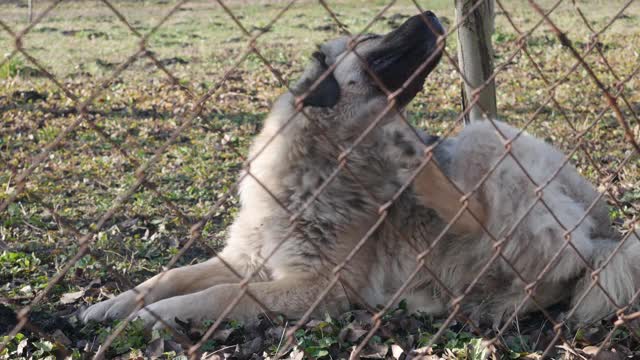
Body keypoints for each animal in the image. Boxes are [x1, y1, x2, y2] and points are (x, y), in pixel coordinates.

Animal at [82, 11, 636, 332]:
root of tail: (603, 230)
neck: (316, 167)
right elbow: (175, 275)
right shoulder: (247, 258)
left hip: (484, 134)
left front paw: (153, 316)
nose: (432, 12)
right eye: (371, 36)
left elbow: (216, 295)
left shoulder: (317, 285)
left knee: (496, 224)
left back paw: (414, 155)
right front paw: (116, 304)